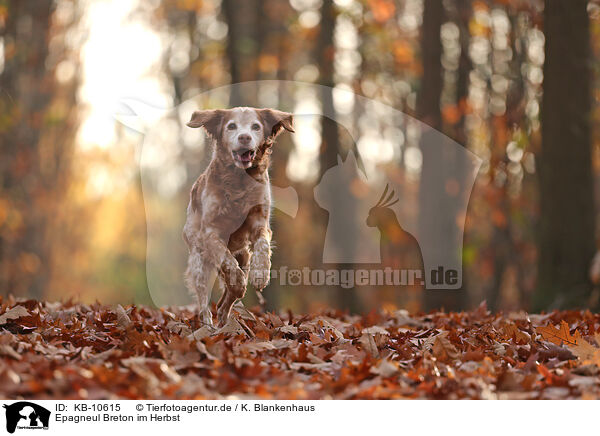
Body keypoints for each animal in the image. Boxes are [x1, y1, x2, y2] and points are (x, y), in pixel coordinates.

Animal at [184, 108, 294, 328]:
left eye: (256, 126)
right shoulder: (211, 234)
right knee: (204, 301)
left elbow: (263, 245)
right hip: (199, 261)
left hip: (243, 256)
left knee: (224, 301)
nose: (244, 137)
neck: (239, 180)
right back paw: (209, 324)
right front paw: (240, 282)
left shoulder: (260, 222)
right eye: (231, 126)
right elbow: (228, 264)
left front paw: (261, 274)